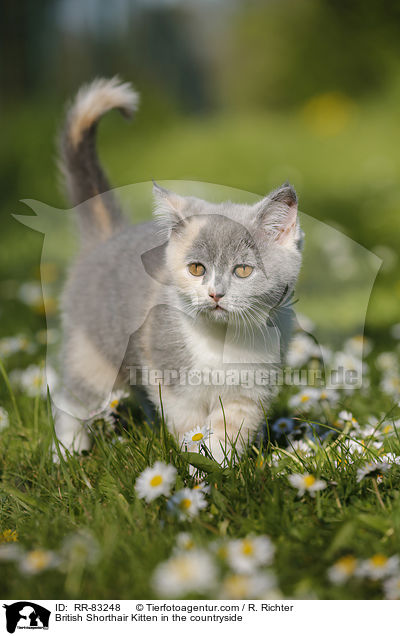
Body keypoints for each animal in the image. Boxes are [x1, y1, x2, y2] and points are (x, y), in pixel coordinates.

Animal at [53, 78, 304, 462]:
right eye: (197, 268)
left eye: (243, 271)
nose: (215, 293)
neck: (221, 342)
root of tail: (109, 236)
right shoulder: (172, 381)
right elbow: (190, 429)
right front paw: (197, 468)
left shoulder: (249, 391)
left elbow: (228, 431)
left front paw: (224, 469)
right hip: (92, 351)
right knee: (74, 399)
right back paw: (68, 453)